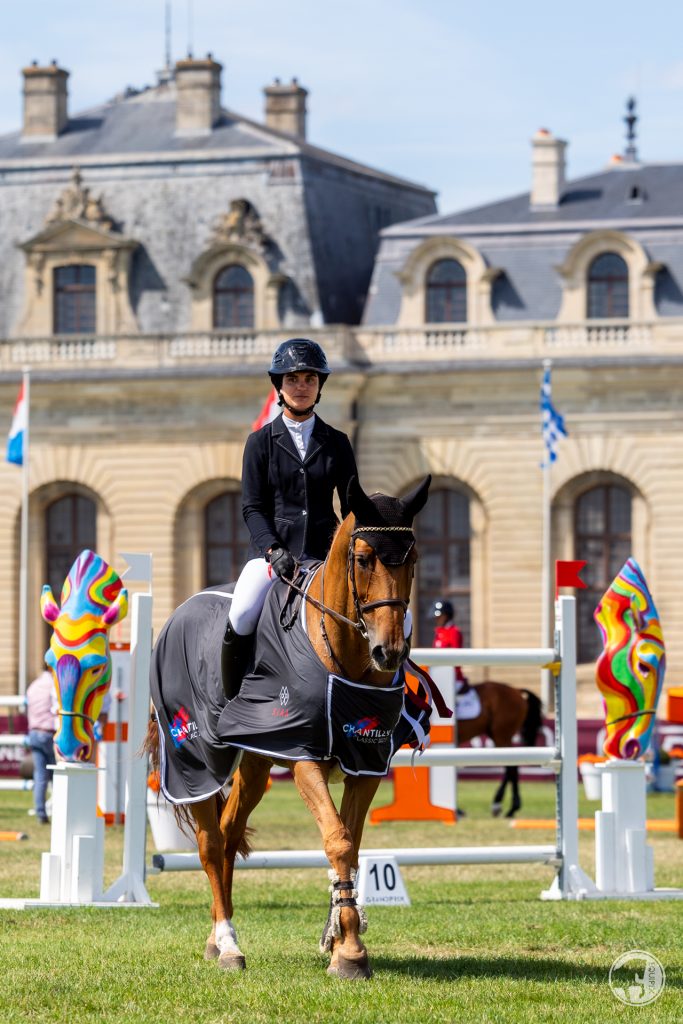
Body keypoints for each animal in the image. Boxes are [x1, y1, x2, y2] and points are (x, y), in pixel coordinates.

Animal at [147, 475, 430, 978]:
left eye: (412, 559)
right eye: (363, 558)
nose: (390, 652)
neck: (343, 653)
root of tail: (177, 614)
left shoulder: (365, 761)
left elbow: (351, 845)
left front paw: (341, 939)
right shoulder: (302, 756)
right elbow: (337, 840)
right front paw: (349, 950)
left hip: (257, 761)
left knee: (229, 833)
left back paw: (216, 940)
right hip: (194, 757)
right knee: (209, 841)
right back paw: (228, 944)